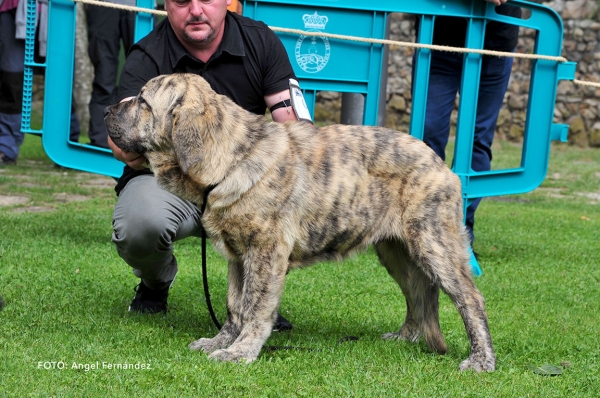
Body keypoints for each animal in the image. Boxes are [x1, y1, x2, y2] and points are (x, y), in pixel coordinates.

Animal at [104, 73, 496, 372]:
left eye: (142, 102)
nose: (107, 109)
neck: (230, 158)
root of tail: (440, 162)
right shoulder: (238, 256)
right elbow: (234, 305)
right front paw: (221, 341)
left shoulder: (265, 252)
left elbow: (255, 306)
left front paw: (241, 351)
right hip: (396, 252)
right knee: (417, 292)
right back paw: (405, 337)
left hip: (434, 244)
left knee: (470, 299)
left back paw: (481, 360)